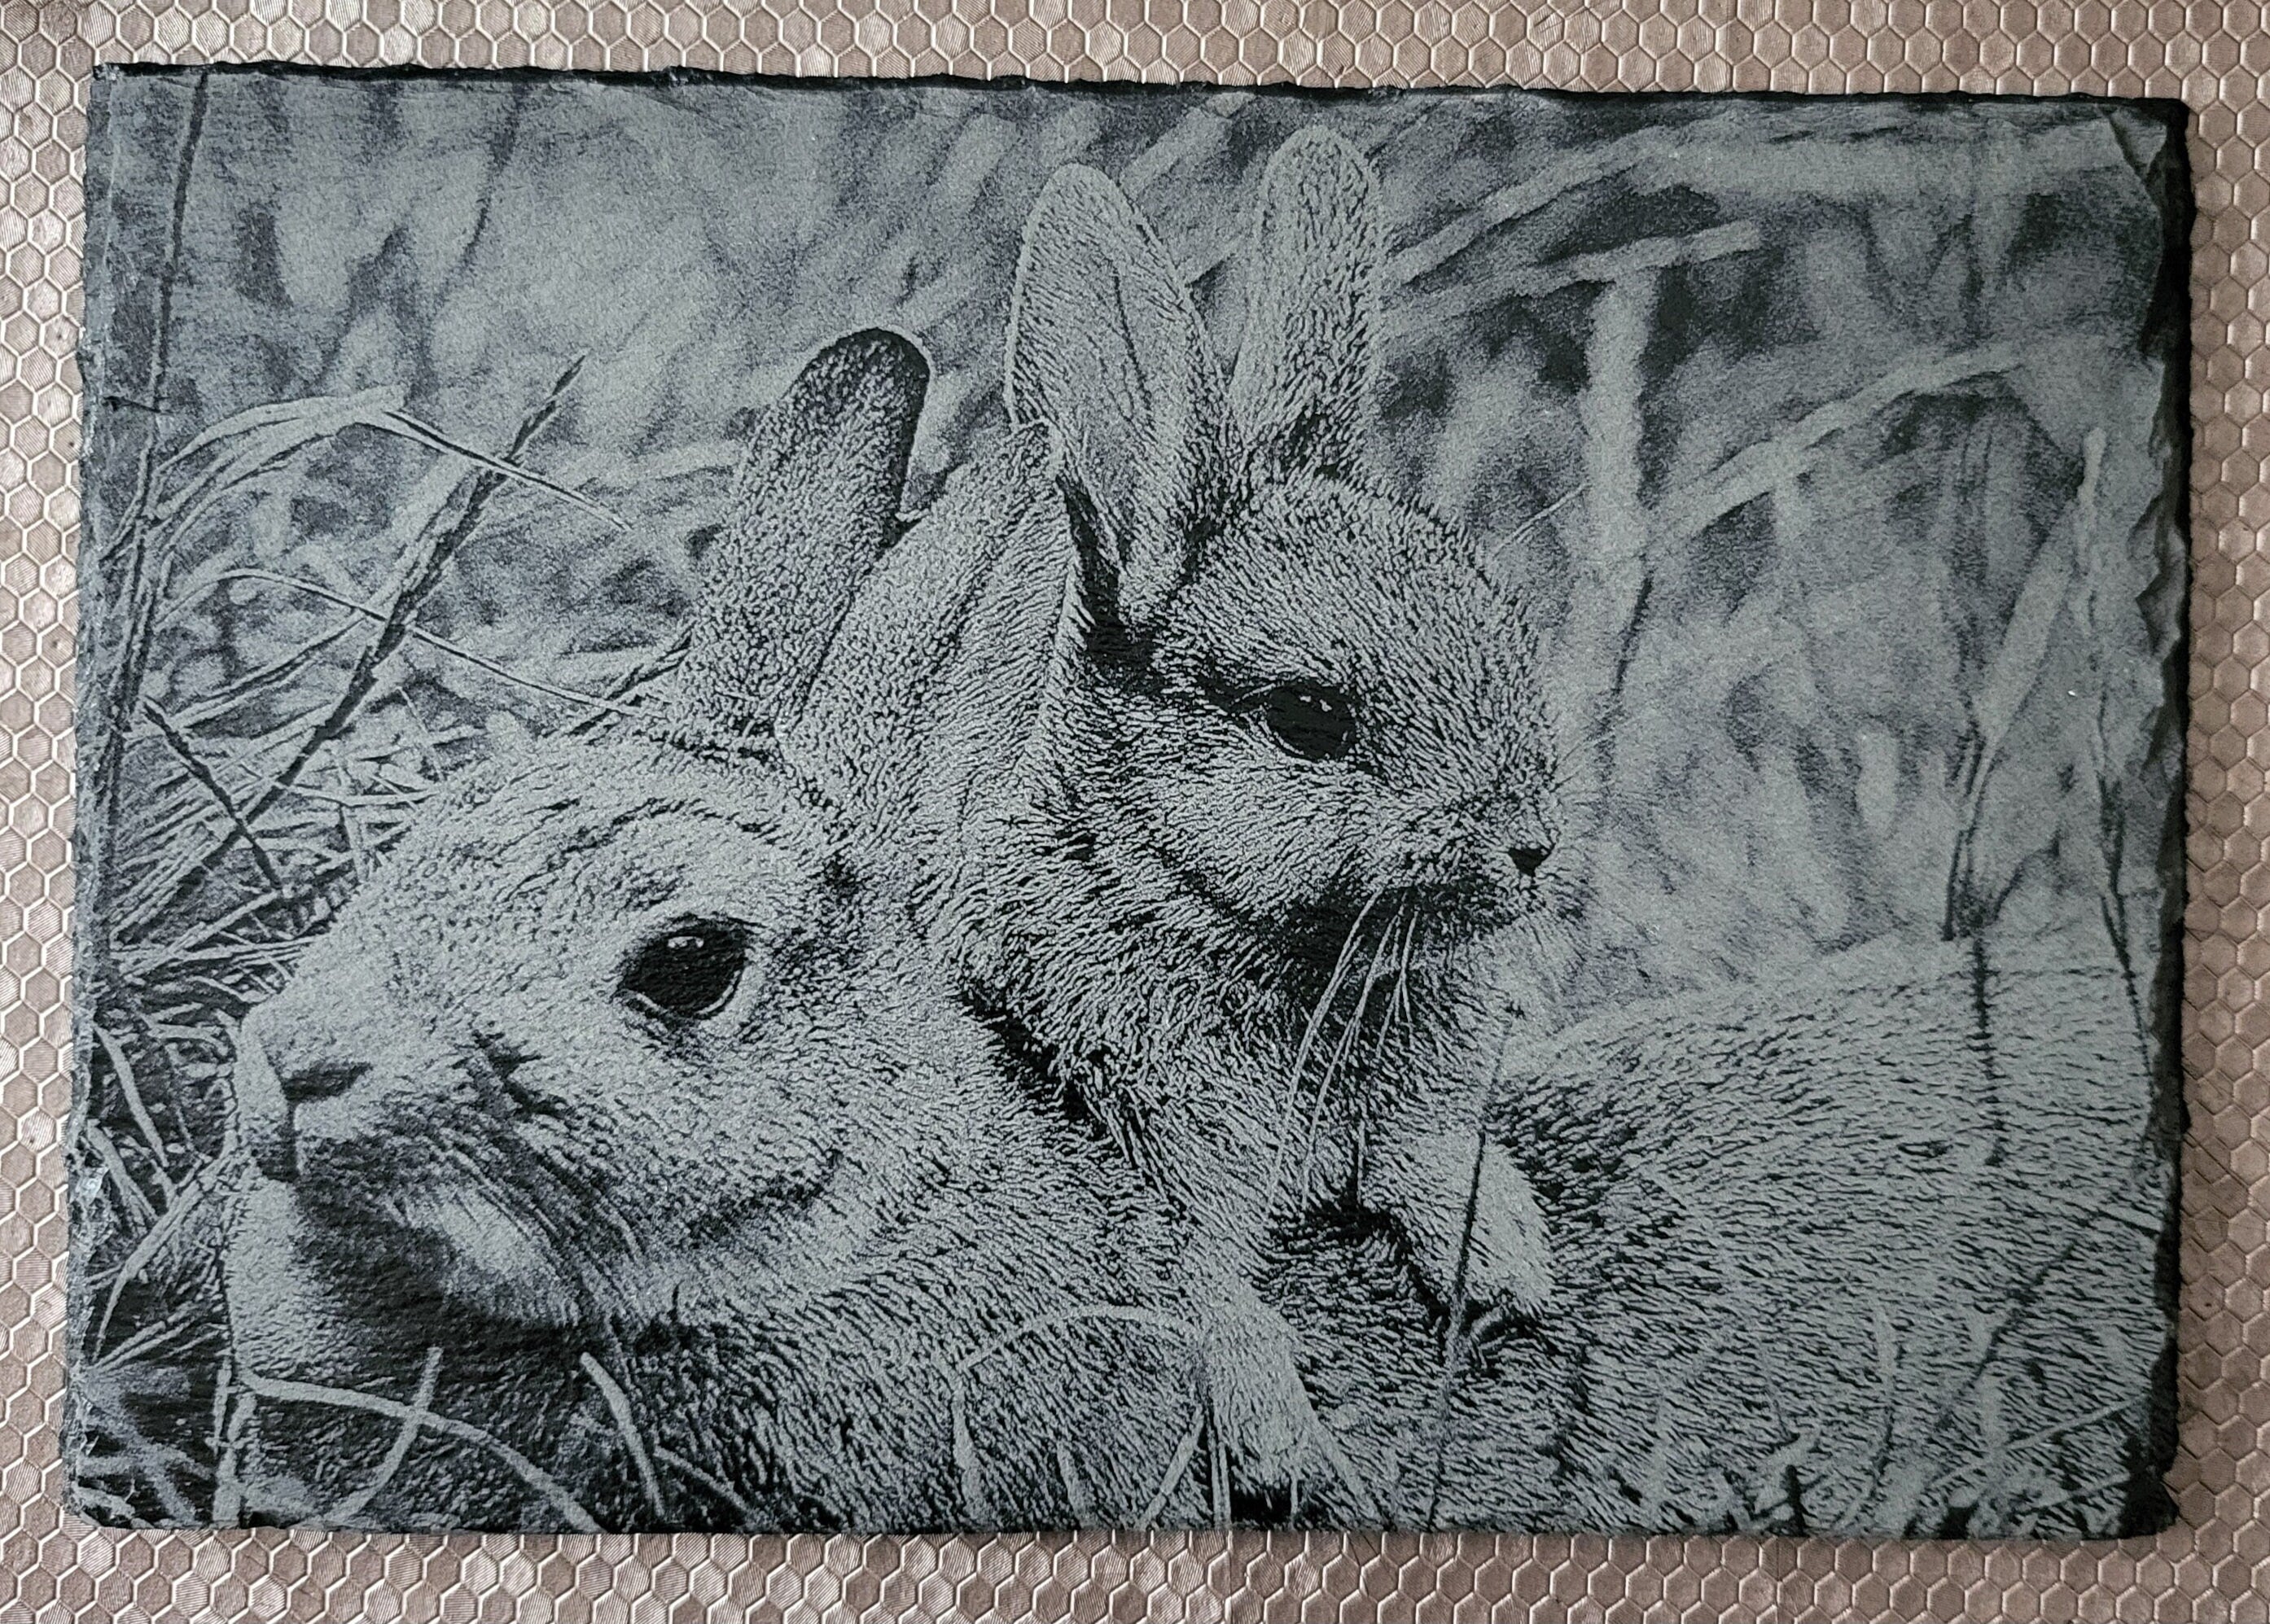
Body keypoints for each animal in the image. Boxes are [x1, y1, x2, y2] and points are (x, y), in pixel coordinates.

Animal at [791, 129, 1564, 1502]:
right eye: (1307, 714)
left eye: (1509, 632)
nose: (1529, 844)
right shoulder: (1145, 1167)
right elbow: (1213, 1304)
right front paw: (1291, 1451)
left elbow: (1428, 1157)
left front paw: (1508, 1263)